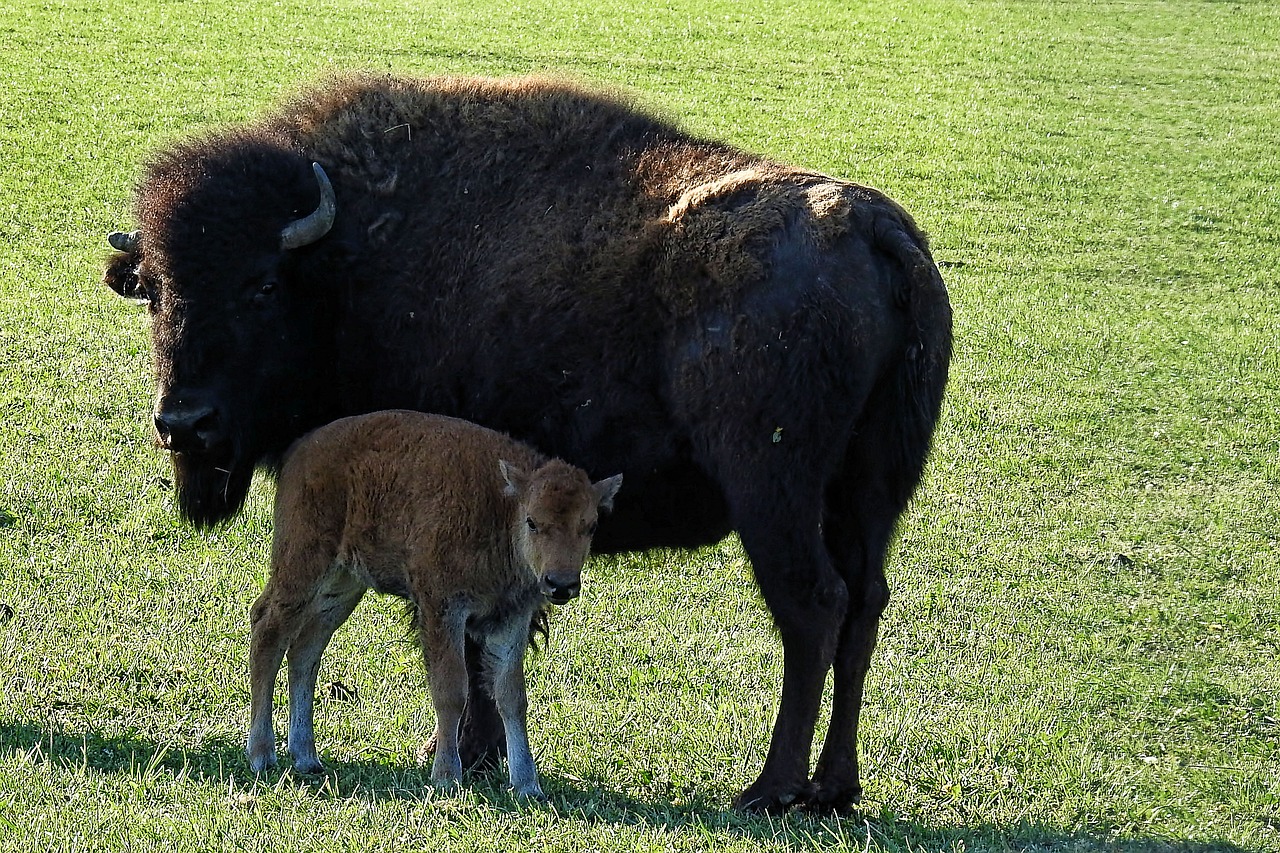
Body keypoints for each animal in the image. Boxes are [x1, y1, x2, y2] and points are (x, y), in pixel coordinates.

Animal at [245, 409, 624, 794]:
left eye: (591, 526)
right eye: (532, 521)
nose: (561, 584)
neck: (502, 509)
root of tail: (300, 452)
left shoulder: (512, 618)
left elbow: (511, 695)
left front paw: (527, 784)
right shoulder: (443, 609)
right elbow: (452, 688)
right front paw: (446, 776)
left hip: (342, 587)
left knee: (305, 650)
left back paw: (306, 757)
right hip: (302, 567)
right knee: (267, 631)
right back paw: (261, 754)